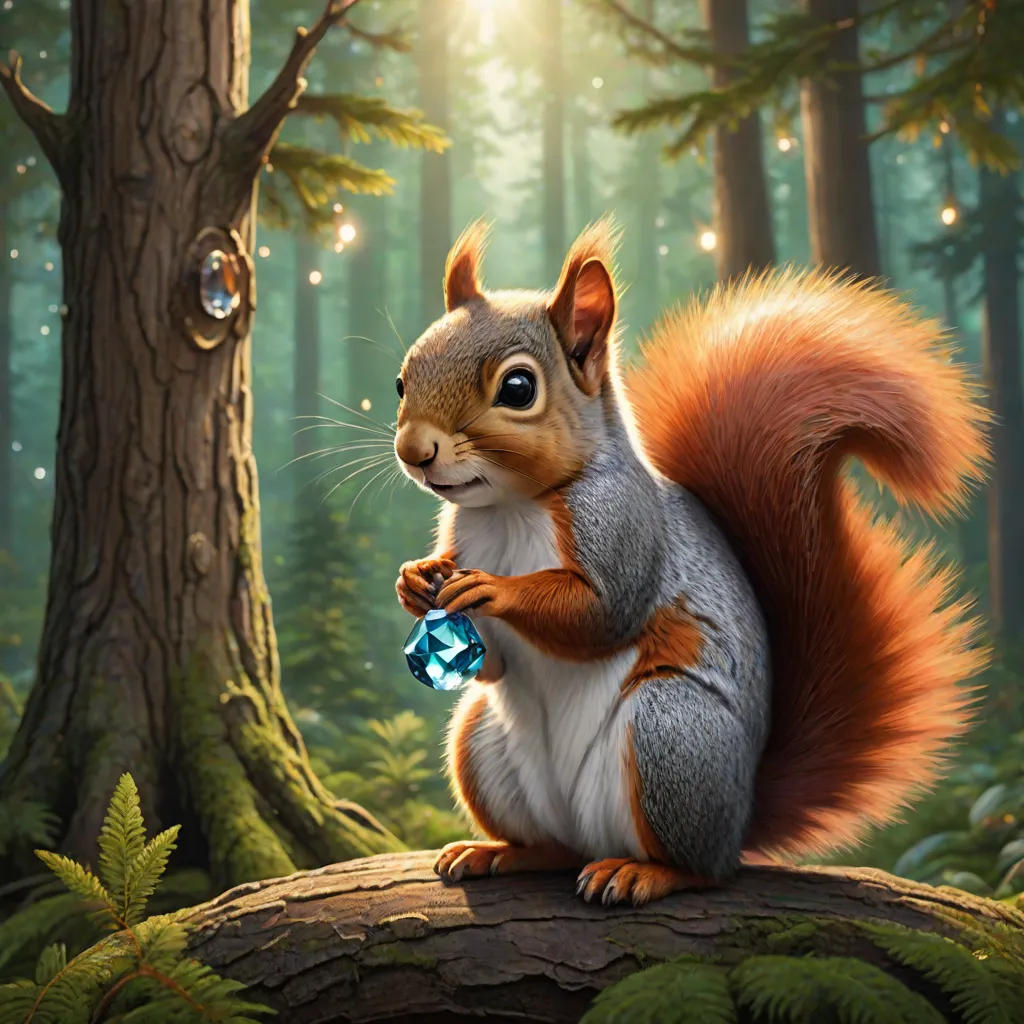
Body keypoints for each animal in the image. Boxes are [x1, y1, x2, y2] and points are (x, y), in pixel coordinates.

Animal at [393, 217, 990, 906]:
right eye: (402, 379)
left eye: (518, 389)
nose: (413, 450)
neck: (511, 507)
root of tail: (740, 815)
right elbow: (489, 661)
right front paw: (414, 582)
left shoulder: (623, 526)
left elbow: (600, 614)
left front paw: (495, 589)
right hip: (482, 743)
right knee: (554, 846)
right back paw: (501, 852)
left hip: (670, 735)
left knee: (702, 868)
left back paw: (642, 872)